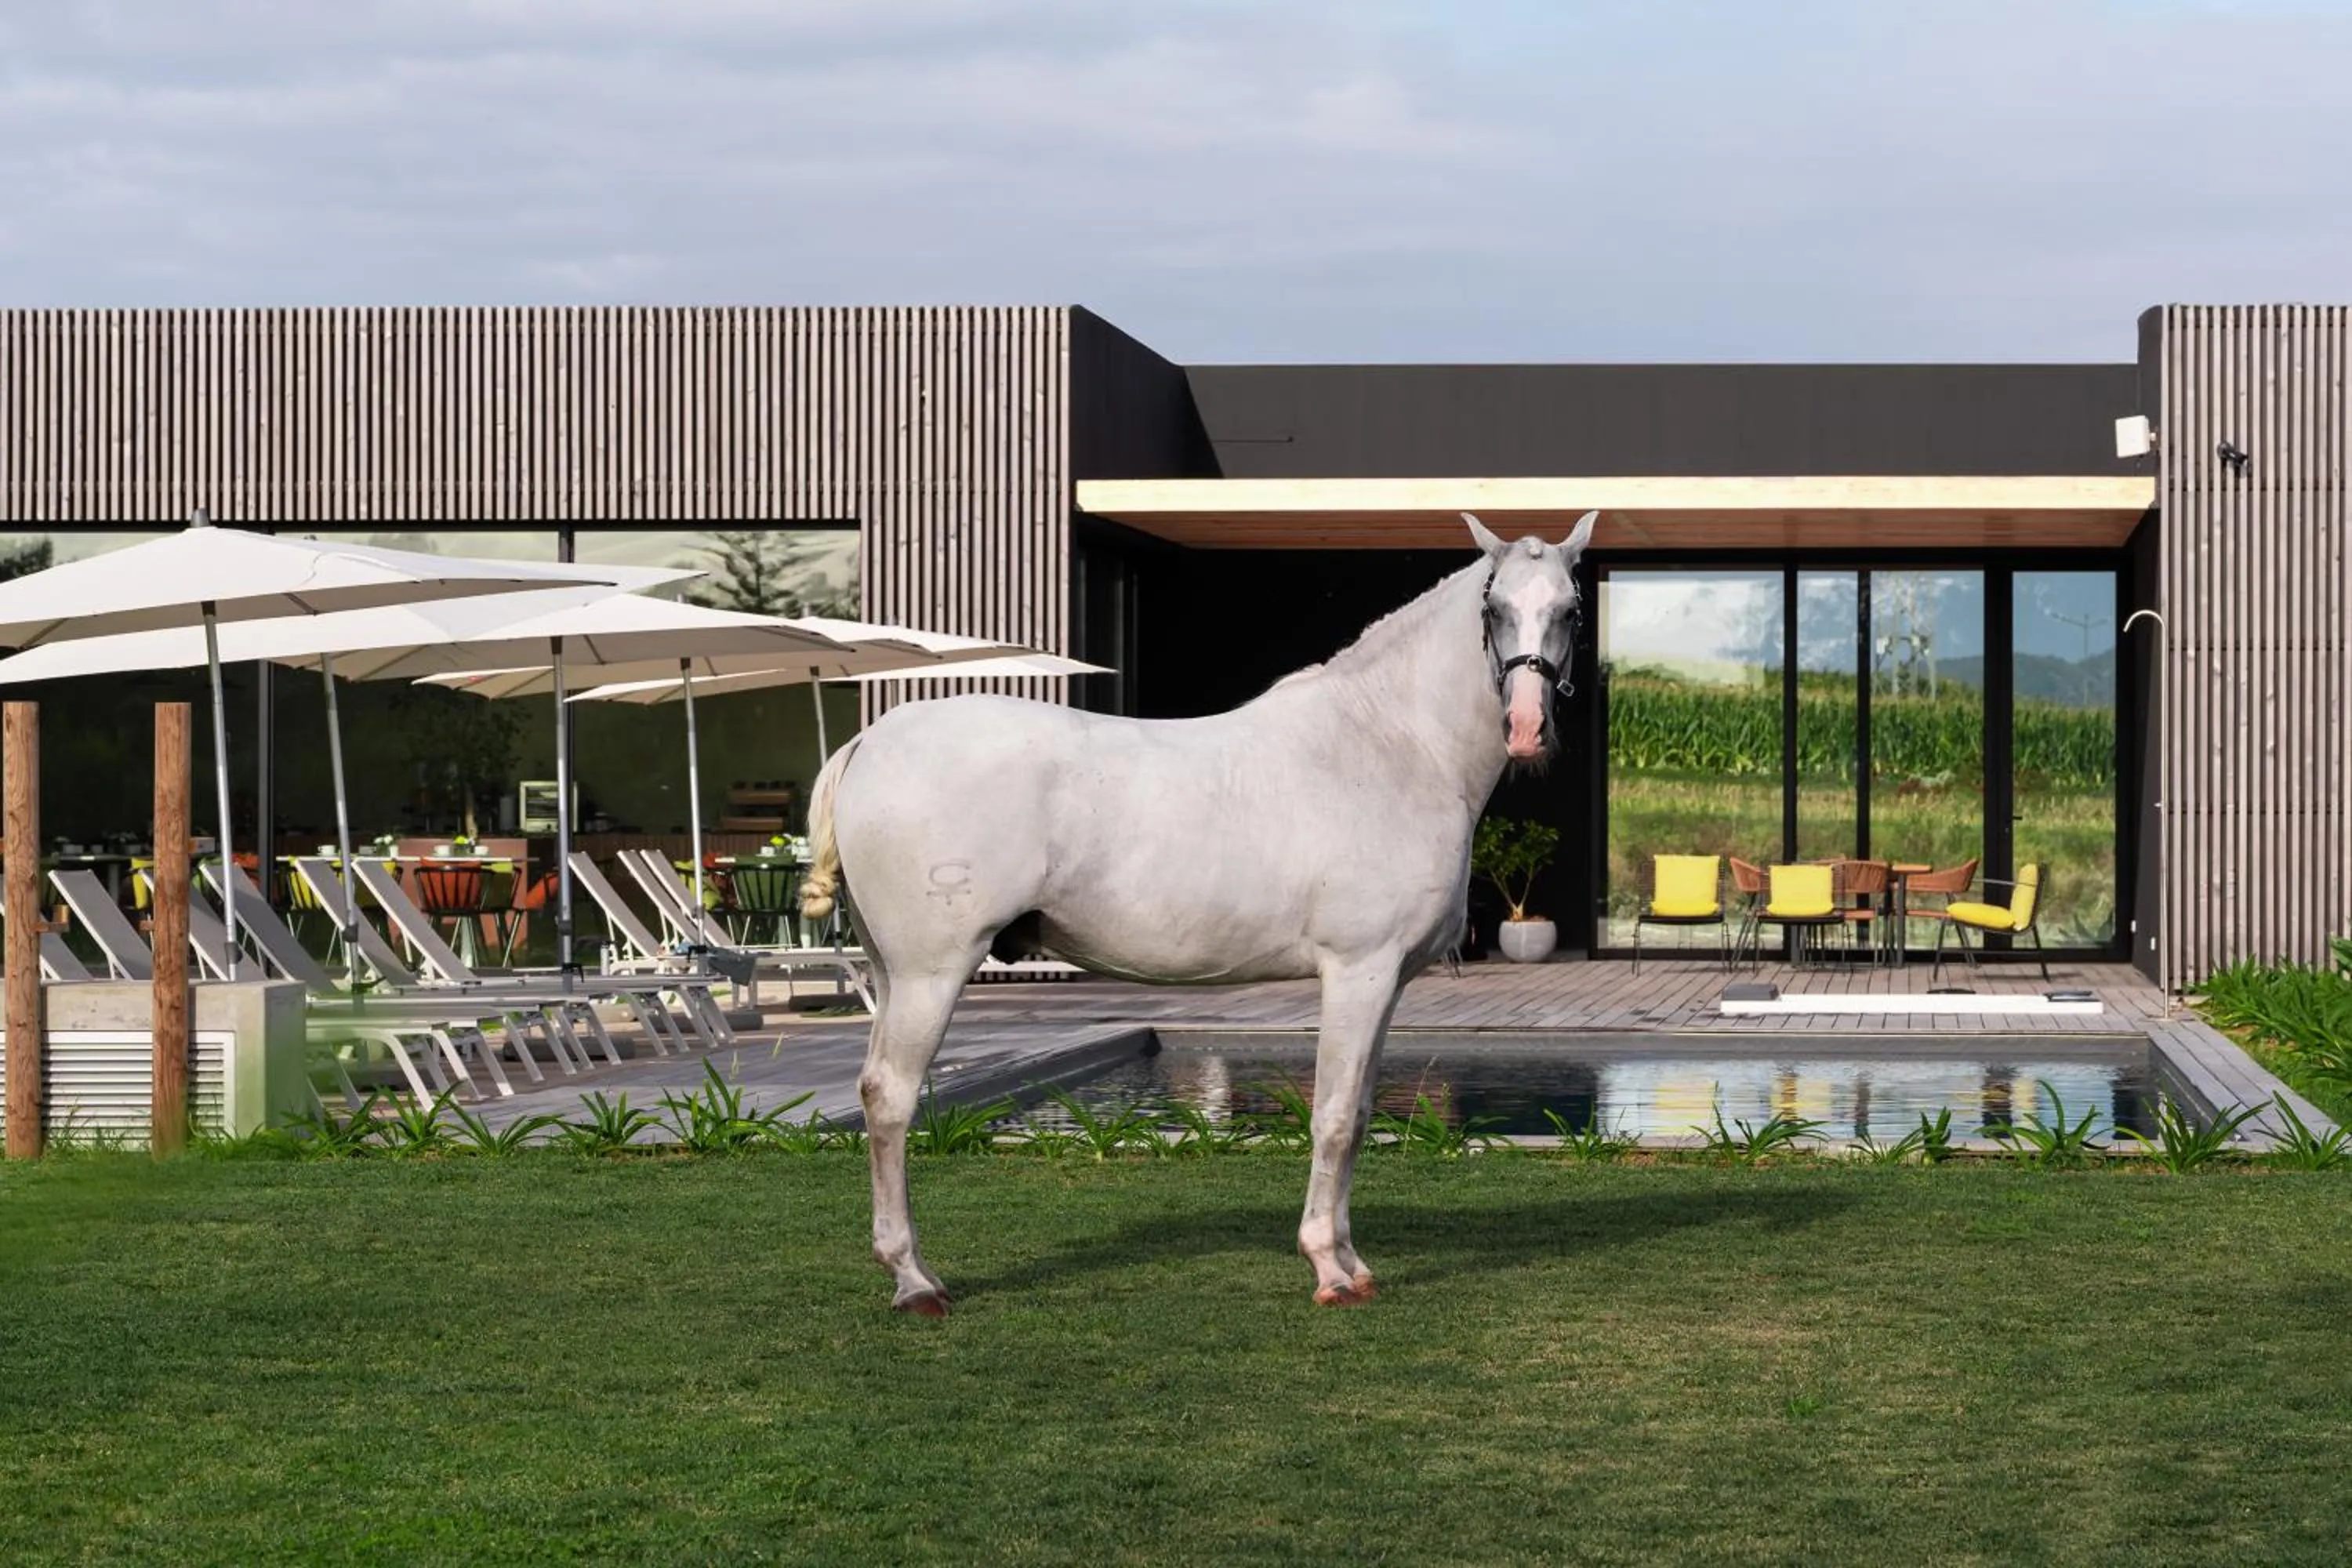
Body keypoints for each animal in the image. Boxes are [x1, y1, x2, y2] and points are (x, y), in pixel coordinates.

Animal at [799, 509, 1597, 1314]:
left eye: (1570, 610)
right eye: (1495, 611)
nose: (1526, 728)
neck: (1388, 745)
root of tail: (871, 741)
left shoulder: (1390, 981)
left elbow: (1362, 1111)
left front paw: (1353, 1261)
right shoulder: (1358, 972)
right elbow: (1336, 1117)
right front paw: (1328, 1267)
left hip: (893, 972)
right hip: (932, 973)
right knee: (891, 1098)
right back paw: (912, 1280)